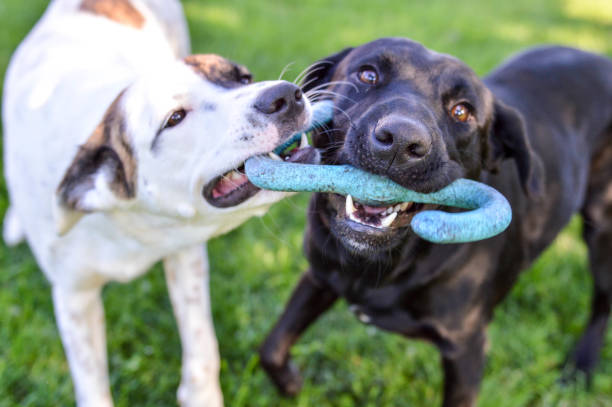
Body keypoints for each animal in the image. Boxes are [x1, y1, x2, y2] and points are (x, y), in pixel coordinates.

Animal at [1, 1, 316, 406]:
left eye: (243, 78)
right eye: (175, 118)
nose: (286, 95)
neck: (125, 219)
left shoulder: (186, 253)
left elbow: (201, 345)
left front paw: (201, 396)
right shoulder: (74, 297)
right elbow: (91, 380)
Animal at [258, 36, 612, 406]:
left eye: (462, 111)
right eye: (368, 74)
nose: (400, 142)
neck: (380, 268)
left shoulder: (466, 349)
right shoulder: (319, 276)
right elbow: (271, 347)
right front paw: (291, 384)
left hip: (602, 233)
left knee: (602, 303)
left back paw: (581, 366)